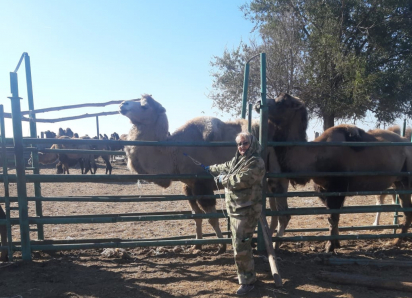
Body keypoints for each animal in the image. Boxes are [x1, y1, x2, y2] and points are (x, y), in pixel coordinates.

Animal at [118, 94, 286, 253]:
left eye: (145, 106)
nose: (122, 104)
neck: (175, 151)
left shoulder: (203, 185)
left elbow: (211, 217)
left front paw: (221, 245)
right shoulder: (189, 186)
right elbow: (196, 216)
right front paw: (196, 245)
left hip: (274, 173)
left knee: (281, 207)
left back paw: (275, 244)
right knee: (274, 209)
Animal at [258, 92, 412, 251]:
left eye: (283, 101)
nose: (258, 103)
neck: (314, 155)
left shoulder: (337, 187)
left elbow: (333, 217)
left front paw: (329, 246)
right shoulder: (323, 189)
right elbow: (332, 217)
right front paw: (335, 243)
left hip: (407, 179)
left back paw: (397, 241)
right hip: (399, 182)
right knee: (407, 209)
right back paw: (396, 241)